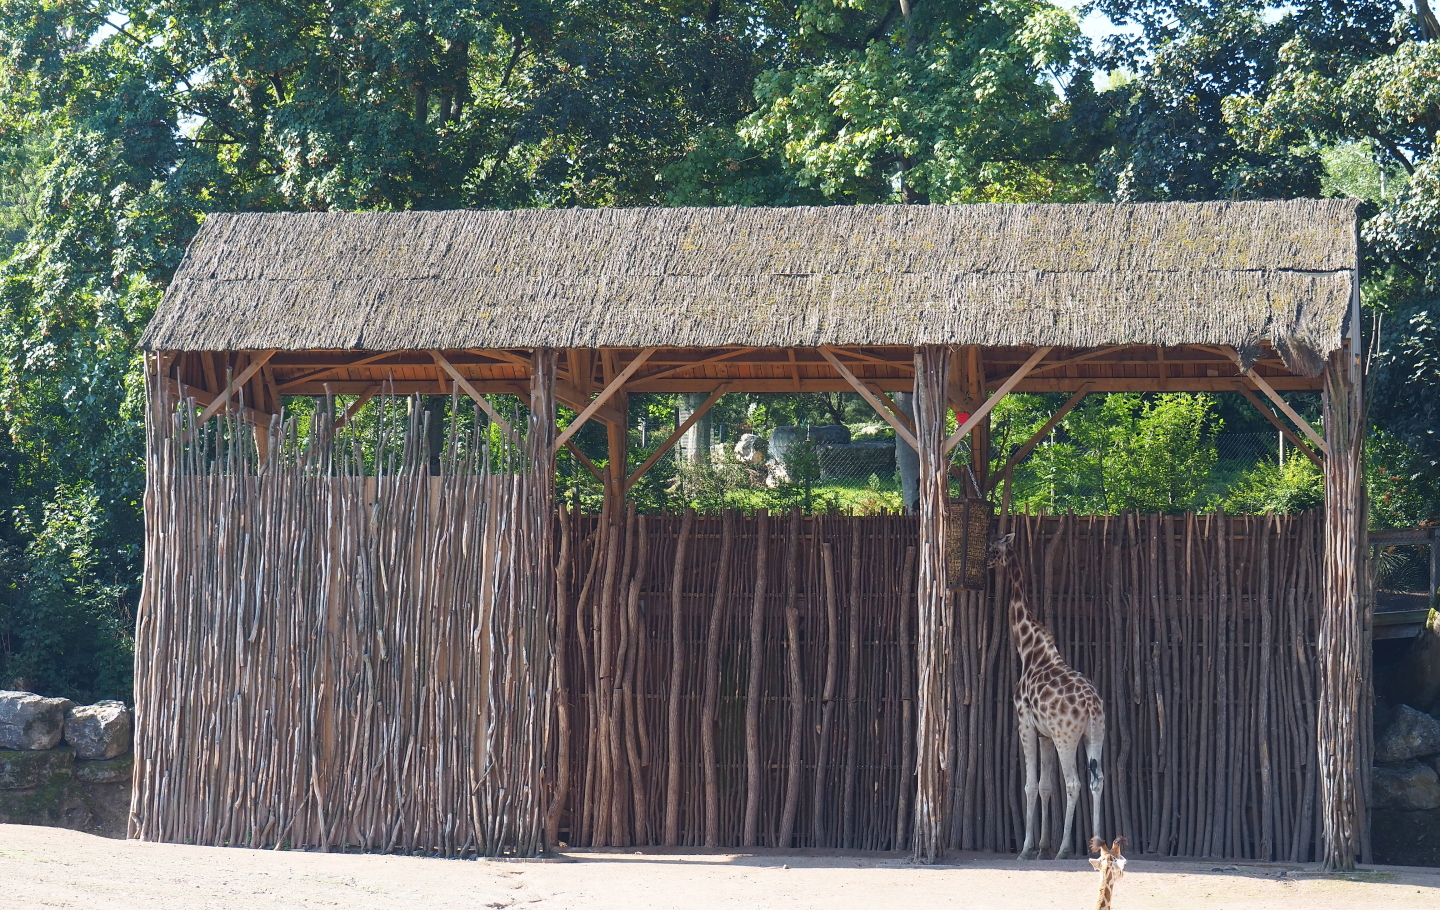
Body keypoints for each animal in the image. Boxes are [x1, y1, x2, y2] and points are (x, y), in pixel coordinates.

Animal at [987, 532, 1106, 860]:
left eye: (993, 547)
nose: (986, 561)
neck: (1029, 650)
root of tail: (1091, 704)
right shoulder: (1045, 734)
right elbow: (1045, 786)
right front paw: (1041, 846)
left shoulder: (1025, 725)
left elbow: (1030, 786)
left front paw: (1027, 848)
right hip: (1095, 734)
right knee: (1097, 781)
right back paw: (1097, 846)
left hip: (1068, 737)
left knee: (1075, 783)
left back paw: (1064, 849)